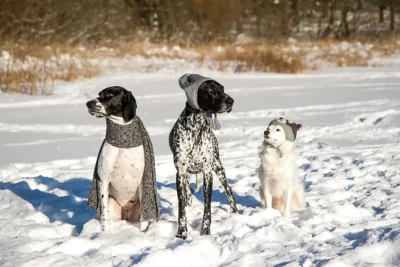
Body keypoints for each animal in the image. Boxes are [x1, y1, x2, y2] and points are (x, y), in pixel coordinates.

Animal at [86, 86, 159, 232]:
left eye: (109, 94)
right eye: (99, 94)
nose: (88, 103)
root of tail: (126, 215)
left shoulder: (142, 181)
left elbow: (143, 219)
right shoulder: (103, 181)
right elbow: (103, 216)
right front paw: (104, 234)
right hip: (111, 203)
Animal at [169, 74, 238, 241]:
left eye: (222, 88)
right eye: (210, 89)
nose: (230, 101)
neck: (197, 125)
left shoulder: (207, 173)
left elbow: (207, 207)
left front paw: (205, 232)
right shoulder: (180, 173)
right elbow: (181, 209)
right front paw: (181, 233)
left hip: (218, 167)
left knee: (228, 188)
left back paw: (235, 212)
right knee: (188, 192)